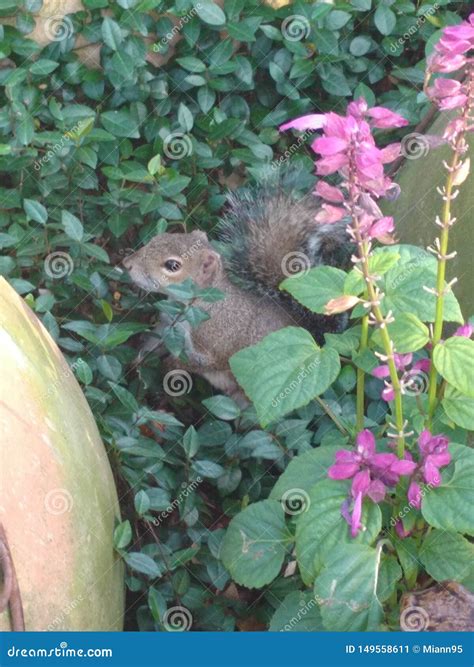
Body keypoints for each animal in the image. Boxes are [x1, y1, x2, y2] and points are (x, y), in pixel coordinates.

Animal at [122, 171, 352, 402]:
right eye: (160, 237)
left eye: (172, 265)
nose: (127, 264)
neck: (197, 304)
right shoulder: (169, 324)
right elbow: (154, 340)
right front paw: (136, 361)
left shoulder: (216, 343)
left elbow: (207, 362)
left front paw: (170, 365)